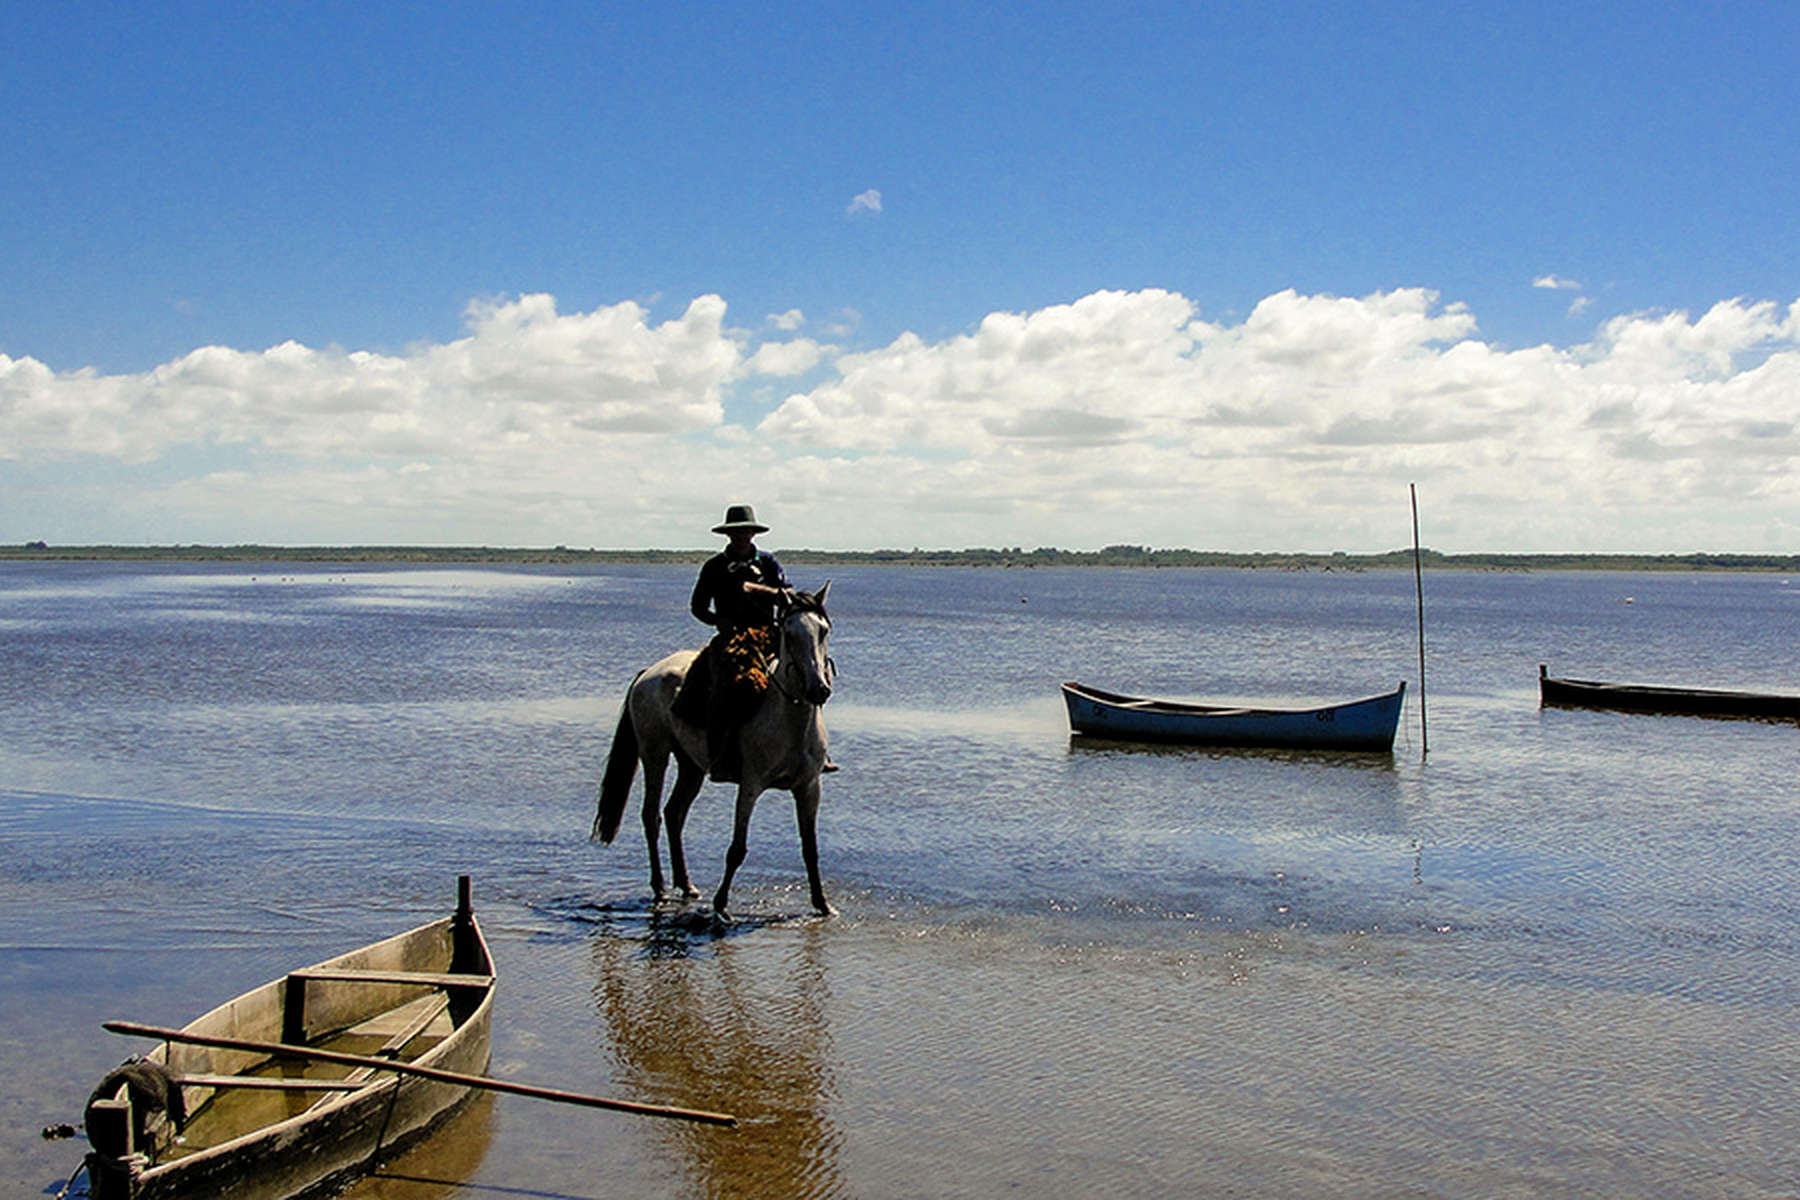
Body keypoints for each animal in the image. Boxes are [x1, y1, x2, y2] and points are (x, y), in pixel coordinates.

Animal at [597, 582, 835, 921]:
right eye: (789, 634)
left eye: (823, 630)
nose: (818, 689)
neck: (789, 721)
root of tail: (648, 673)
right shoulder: (750, 785)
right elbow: (737, 849)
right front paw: (721, 905)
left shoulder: (809, 788)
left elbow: (810, 850)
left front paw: (823, 904)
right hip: (654, 753)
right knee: (651, 815)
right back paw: (659, 888)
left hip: (691, 766)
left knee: (674, 813)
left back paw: (686, 885)